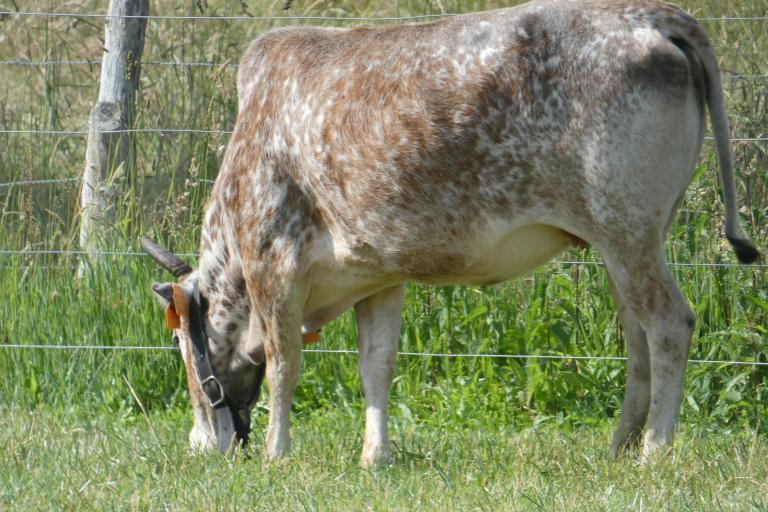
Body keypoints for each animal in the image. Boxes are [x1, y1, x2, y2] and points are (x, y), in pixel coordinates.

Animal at [142, 0, 756, 466]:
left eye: (178, 343)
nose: (199, 445)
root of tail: (651, 14)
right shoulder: (376, 274)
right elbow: (376, 367)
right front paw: (375, 458)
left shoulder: (272, 262)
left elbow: (284, 364)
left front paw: (277, 454)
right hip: (625, 243)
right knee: (637, 338)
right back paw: (619, 448)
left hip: (628, 233)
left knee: (669, 325)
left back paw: (654, 452)